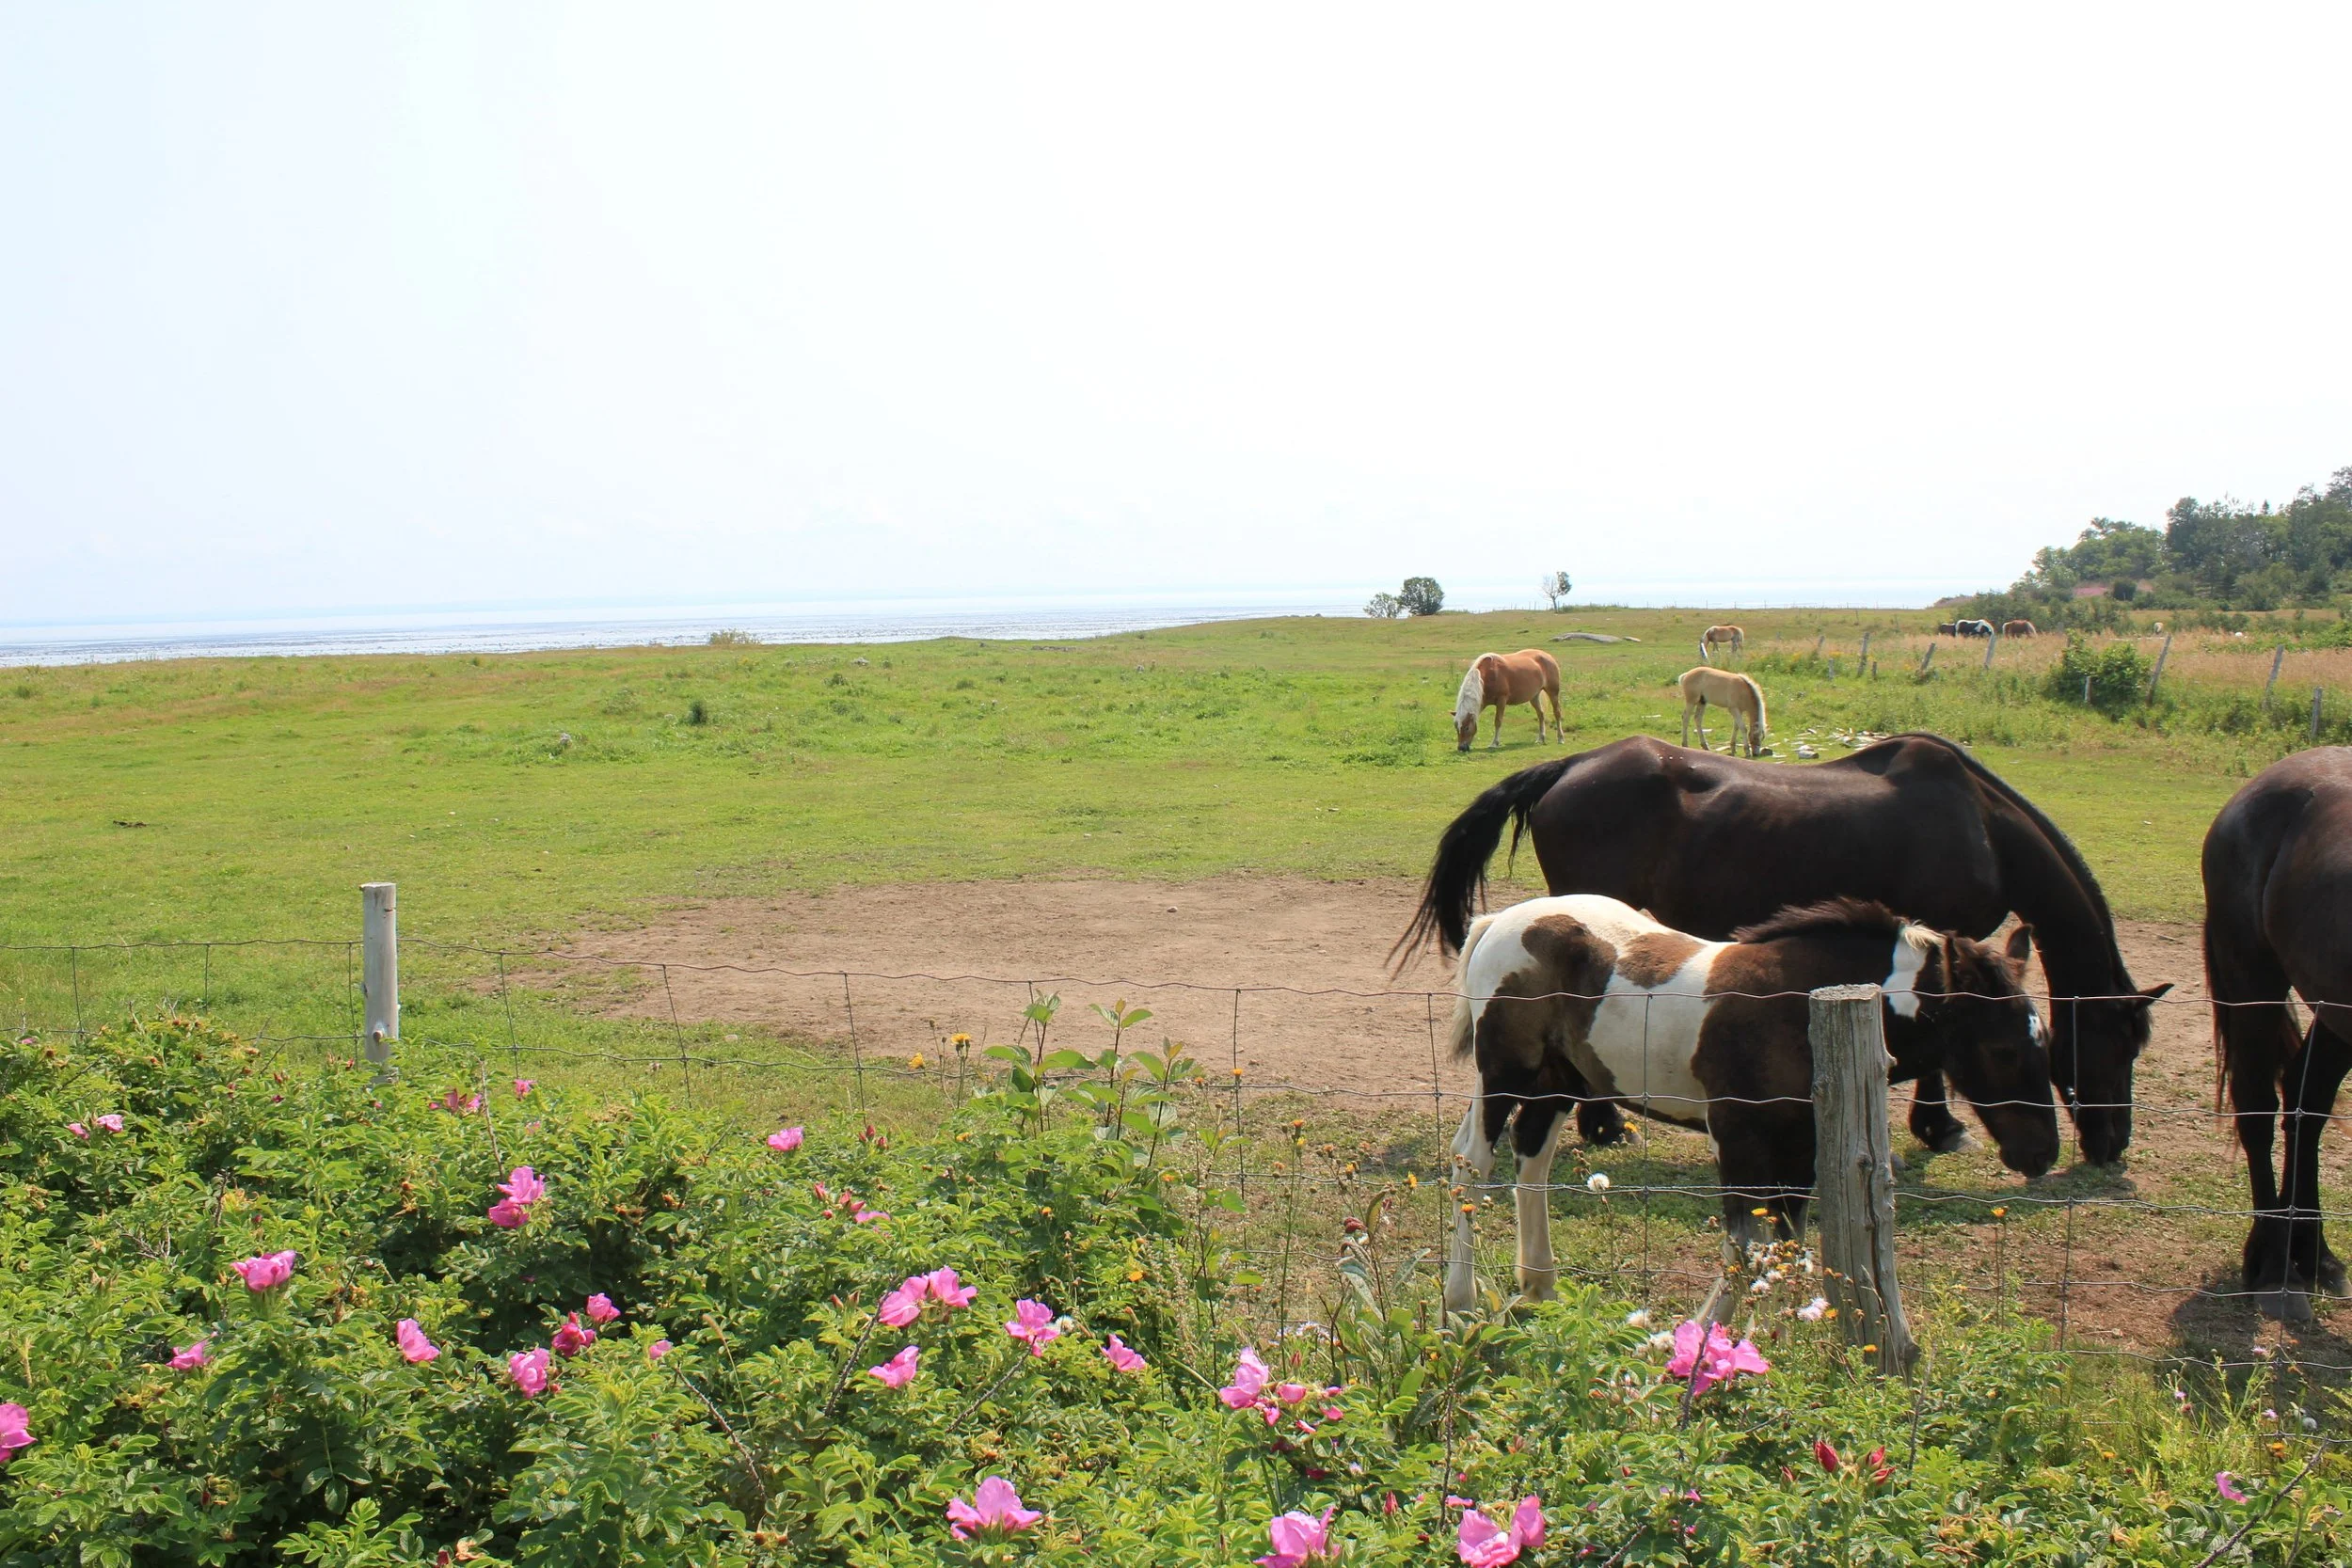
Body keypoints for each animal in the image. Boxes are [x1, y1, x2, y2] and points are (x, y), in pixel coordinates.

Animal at [1395, 734, 2169, 1164]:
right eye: (2119, 1044)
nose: (2111, 1146)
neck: (1980, 822)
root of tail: (1570, 765)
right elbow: (1936, 1055)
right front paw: (1940, 1125)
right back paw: (1606, 1123)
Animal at [1439, 894, 2057, 1312]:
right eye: (2003, 1049)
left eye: (2043, 1039)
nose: (2042, 1154)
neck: (1799, 1005)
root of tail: (1499, 921)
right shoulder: (1737, 1138)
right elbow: (1743, 1250)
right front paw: (1702, 1349)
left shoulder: (1801, 1148)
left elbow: (1786, 1245)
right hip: (1506, 1074)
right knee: (1473, 1164)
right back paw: (1460, 1301)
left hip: (1559, 1080)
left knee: (1531, 1160)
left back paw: (1540, 1287)